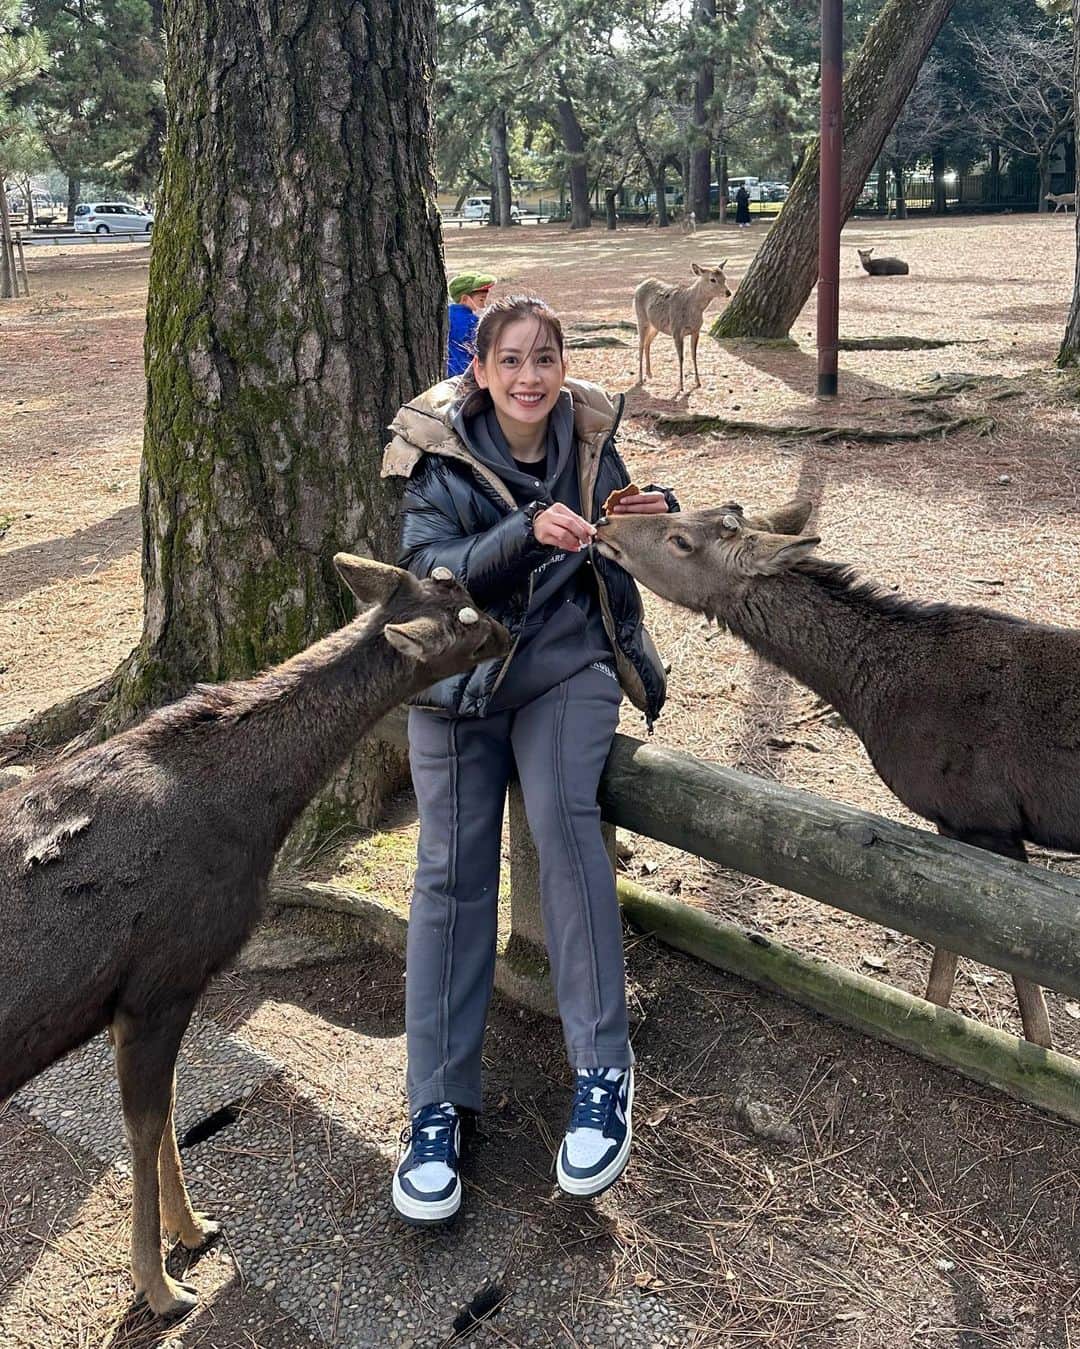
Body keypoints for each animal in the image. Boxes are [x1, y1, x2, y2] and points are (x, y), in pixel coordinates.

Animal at [0, 556, 508, 1320]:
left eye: (462, 586)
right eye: (468, 623)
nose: (510, 629)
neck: (249, 814)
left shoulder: (136, 1000)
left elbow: (169, 1110)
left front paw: (195, 1227)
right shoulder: (160, 978)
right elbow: (145, 1124)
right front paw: (161, 1285)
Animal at [595, 501, 1077, 1051]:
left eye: (680, 541)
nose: (605, 522)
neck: (873, 699)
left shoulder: (985, 819)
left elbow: (1003, 965)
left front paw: (1027, 1045)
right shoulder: (961, 826)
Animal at [634, 261, 731, 395]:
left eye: (725, 278)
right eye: (712, 279)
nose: (728, 292)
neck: (692, 309)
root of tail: (639, 286)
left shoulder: (696, 330)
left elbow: (694, 355)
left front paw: (698, 382)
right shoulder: (676, 330)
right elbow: (681, 357)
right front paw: (680, 386)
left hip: (655, 326)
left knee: (648, 343)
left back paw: (649, 374)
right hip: (641, 318)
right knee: (641, 344)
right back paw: (640, 378)